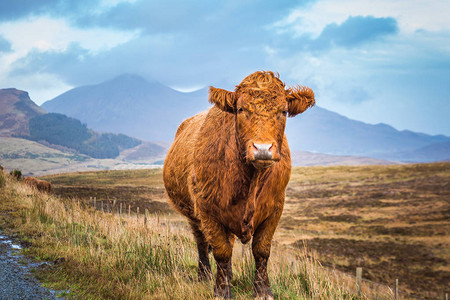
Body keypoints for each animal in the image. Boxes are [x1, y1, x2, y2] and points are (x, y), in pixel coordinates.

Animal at [163, 71, 314, 298]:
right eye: (241, 109)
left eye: (284, 111)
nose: (263, 149)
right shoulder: (207, 210)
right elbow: (221, 251)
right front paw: (221, 290)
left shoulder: (275, 208)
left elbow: (261, 250)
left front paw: (263, 290)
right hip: (192, 213)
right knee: (201, 242)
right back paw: (204, 275)